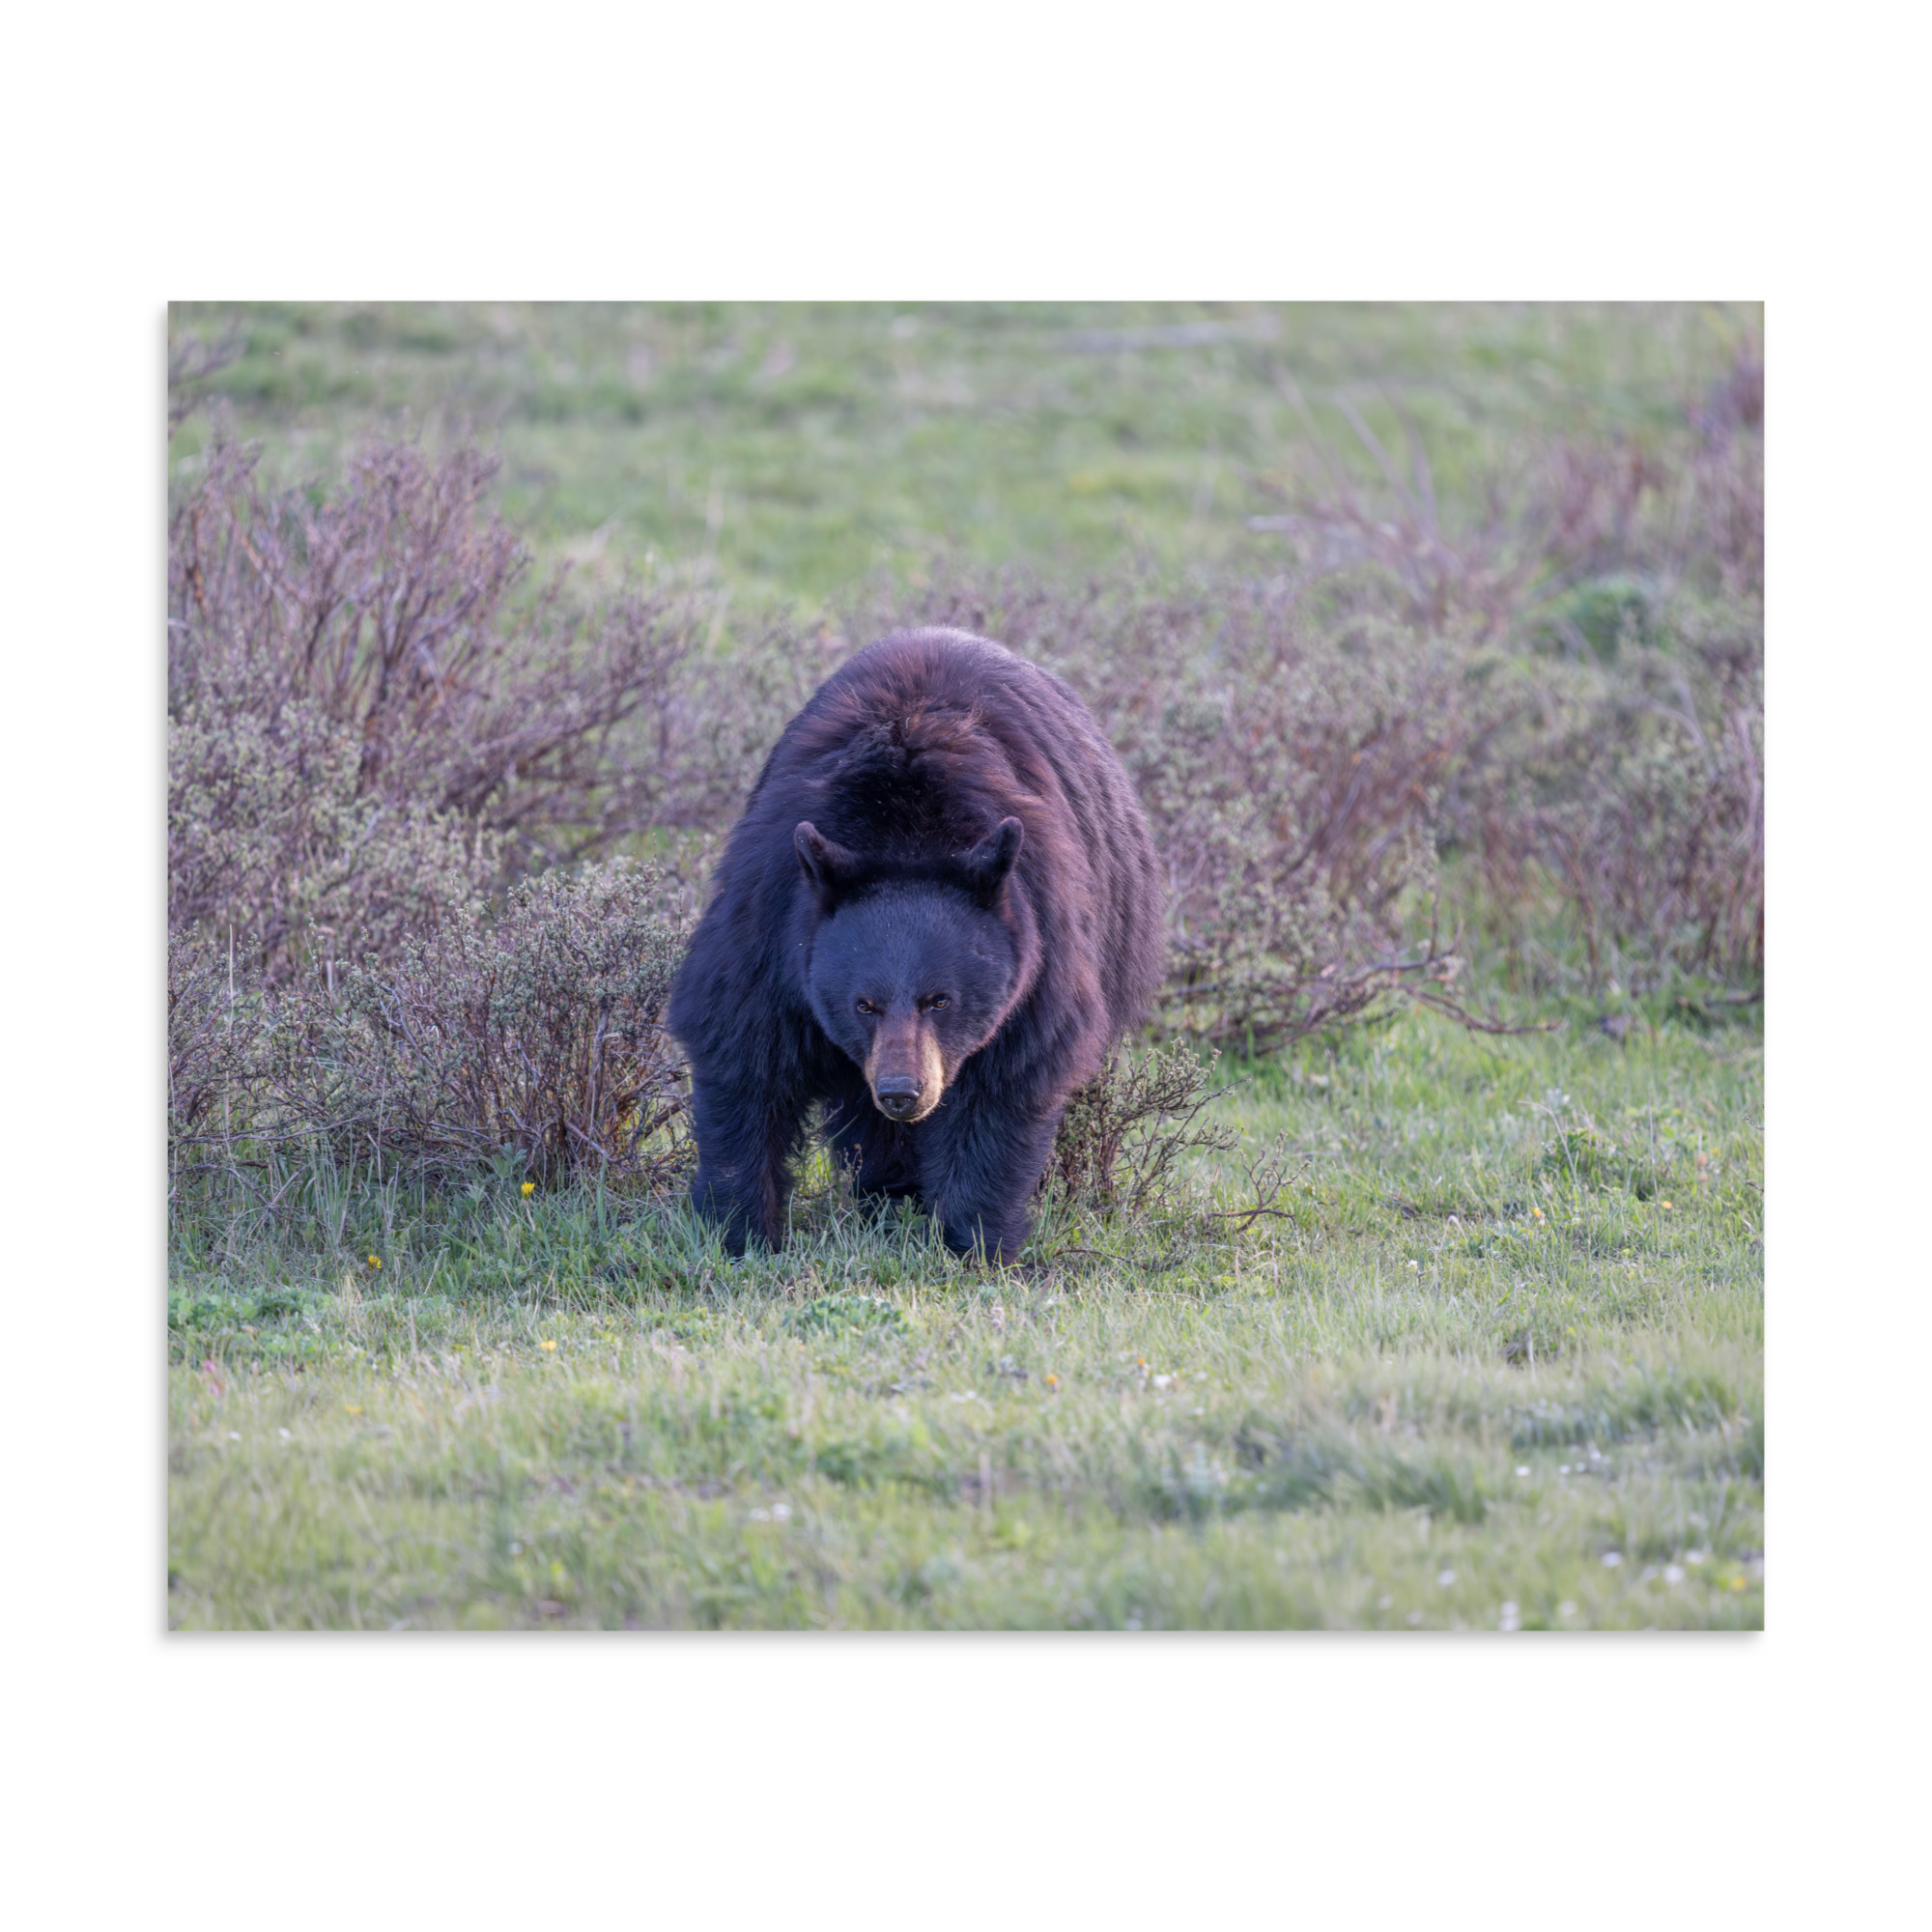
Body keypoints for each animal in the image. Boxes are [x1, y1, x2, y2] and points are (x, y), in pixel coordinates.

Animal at [666, 627, 1166, 1262]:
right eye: (863, 1004)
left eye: (941, 999)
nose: (903, 1093)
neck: (904, 830)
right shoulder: (772, 920)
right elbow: (742, 1052)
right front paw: (741, 1231)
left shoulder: (1040, 943)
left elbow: (1005, 1084)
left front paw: (976, 1242)